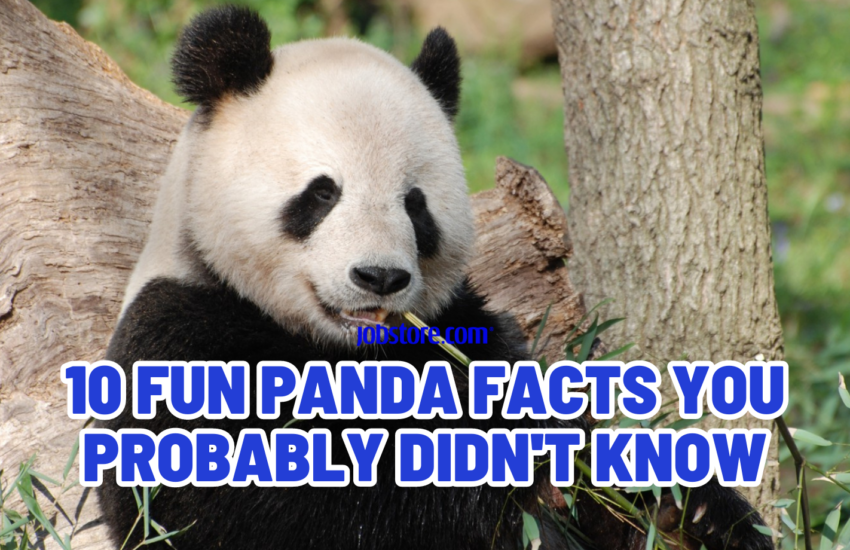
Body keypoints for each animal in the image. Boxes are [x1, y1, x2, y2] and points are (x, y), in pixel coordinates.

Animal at [98, 6, 775, 550]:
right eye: (322, 193)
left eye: (415, 205)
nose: (378, 276)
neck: (349, 352)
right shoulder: (184, 334)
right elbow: (243, 500)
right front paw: (511, 503)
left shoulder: (466, 334)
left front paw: (697, 511)